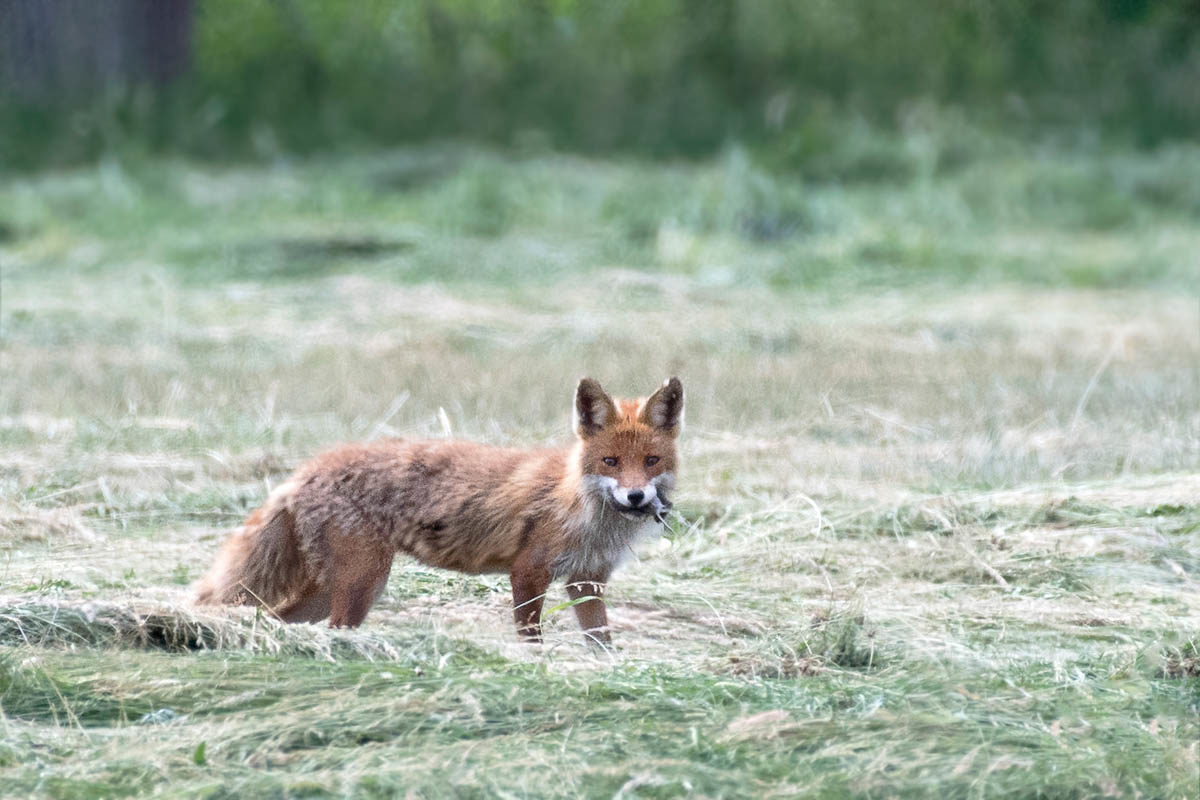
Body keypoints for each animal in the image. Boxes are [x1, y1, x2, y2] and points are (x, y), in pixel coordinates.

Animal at [196, 379, 686, 647]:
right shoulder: (528, 571)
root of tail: (305, 470)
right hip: (361, 583)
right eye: (610, 462)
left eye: (651, 462)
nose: (636, 497)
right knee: (328, 628)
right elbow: (531, 637)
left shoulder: (587, 581)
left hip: (333, 590)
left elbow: (602, 644)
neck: (580, 506)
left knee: (277, 620)